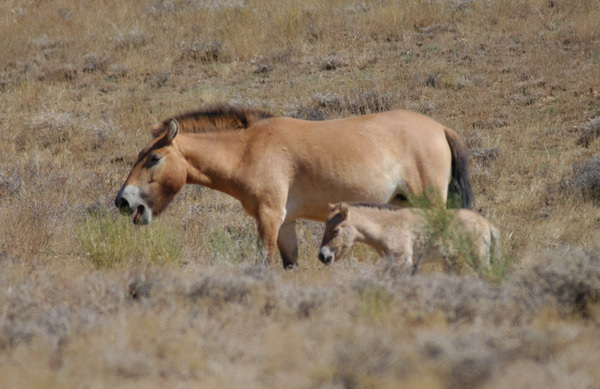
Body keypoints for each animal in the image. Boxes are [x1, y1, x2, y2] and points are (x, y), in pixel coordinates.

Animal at [113, 104, 474, 268]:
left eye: (153, 158)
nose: (123, 201)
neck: (248, 150)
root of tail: (440, 128)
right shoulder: (285, 223)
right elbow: (289, 264)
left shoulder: (269, 218)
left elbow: (264, 261)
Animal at [322, 202, 500, 272]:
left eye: (335, 230)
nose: (322, 256)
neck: (387, 225)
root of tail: (487, 224)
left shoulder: (402, 260)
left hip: (479, 258)